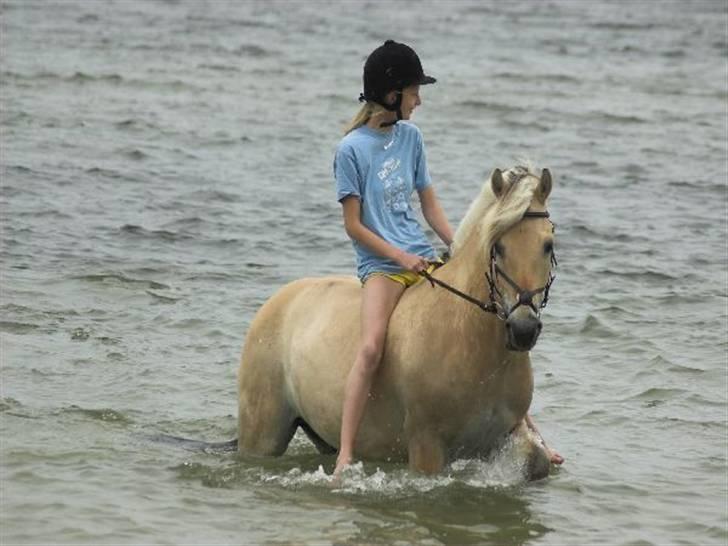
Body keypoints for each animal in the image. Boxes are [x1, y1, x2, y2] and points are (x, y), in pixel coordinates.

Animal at [239, 165, 556, 476]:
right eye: (498, 246)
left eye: (548, 245)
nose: (524, 329)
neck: (468, 341)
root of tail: (275, 301)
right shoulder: (426, 444)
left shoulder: (506, 432)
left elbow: (537, 463)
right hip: (262, 435)